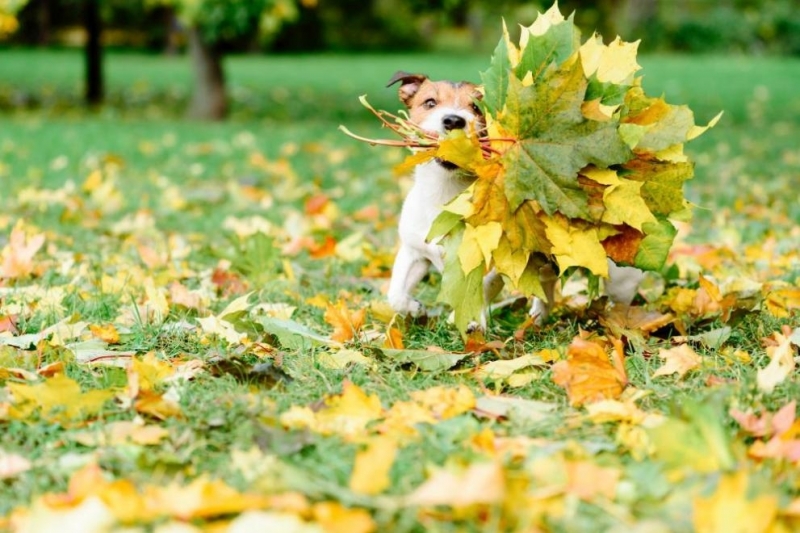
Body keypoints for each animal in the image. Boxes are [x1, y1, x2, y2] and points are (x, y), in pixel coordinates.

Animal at [382, 70, 644, 328]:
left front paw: (467, 322)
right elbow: (395, 294)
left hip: (620, 277)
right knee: (547, 287)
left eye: (477, 107)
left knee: (621, 303)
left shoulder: (490, 264)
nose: (454, 120)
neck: (446, 194)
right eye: (430, 102)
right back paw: (537, 319)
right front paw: (415, 309)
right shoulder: (413, 252)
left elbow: (478, 293)